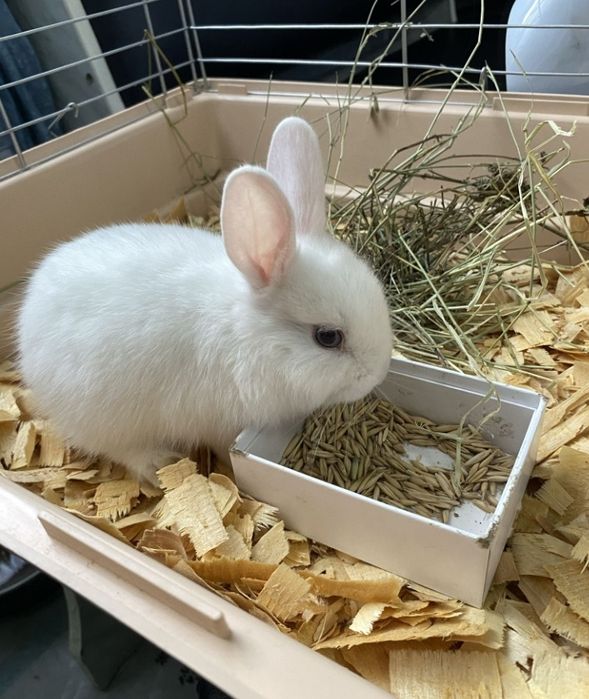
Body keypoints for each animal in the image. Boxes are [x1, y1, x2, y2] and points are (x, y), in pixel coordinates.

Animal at [17, 117, 394, 483]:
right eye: (328, 337)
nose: (378, 375)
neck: (248, 335)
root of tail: (29, 311)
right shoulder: (221, 422)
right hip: (101, 417)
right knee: (115, 448)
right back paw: (158, 465)